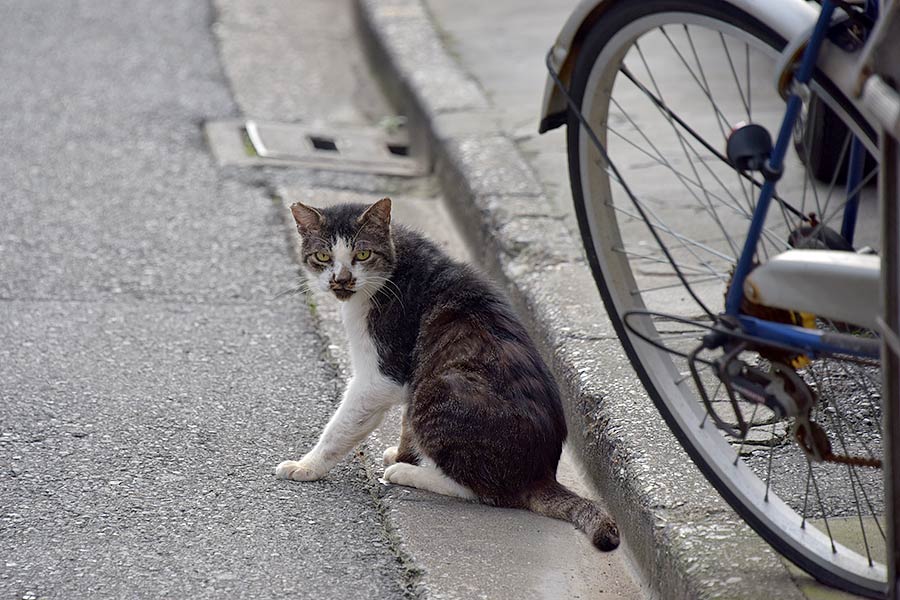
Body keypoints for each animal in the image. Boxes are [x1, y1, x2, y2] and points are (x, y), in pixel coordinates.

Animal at [276, 196, 620, 548]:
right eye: (323, 256)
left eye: (362, 255)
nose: (341, 279)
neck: (394, 265)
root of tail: (541, 473)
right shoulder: (411, 375)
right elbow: (405, 425)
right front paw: (402, 455)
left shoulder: (382, 375)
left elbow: (341, 427)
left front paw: (306, 466)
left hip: (442, 387)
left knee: (485, 492)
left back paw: (411, 475)